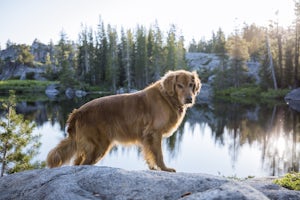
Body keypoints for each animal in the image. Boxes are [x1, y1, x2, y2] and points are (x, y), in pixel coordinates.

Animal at [47, 69, 200, 171]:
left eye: (191, 85)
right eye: (179, 85)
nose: (189, 99)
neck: (167, 97)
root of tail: (77, 112)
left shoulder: (147, 137)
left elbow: (149, 156)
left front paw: (153, 168)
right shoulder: (154, 133)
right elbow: (159, 154)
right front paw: (165, 169)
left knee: (77, 163)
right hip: (98, 146)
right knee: (84, 164)